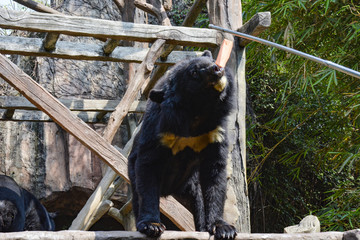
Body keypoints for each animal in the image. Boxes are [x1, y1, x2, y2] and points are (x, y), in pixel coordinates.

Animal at [128, 49, 238, 239]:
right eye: (194, 72)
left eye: (211, 61)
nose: (217, 69)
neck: (197, 111)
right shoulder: (160, 130)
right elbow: (148, 167)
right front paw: (152, 226)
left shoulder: (214, 131)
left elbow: (215, 173)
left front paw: (223, 228)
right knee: (137, 196)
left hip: (191, 184)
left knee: (199, 203)